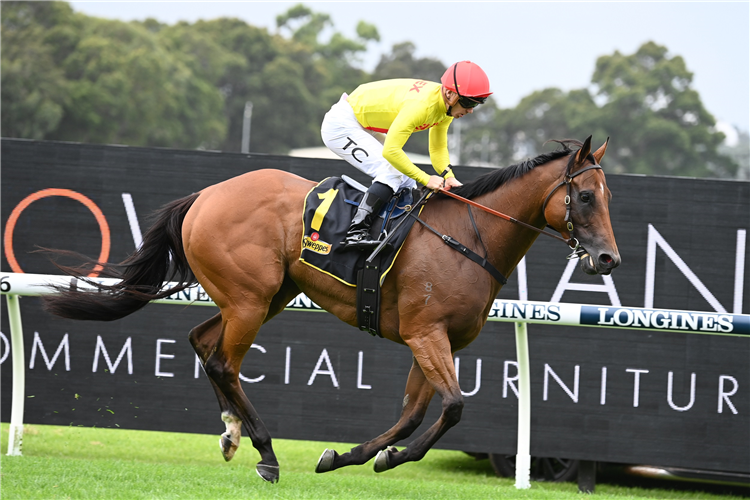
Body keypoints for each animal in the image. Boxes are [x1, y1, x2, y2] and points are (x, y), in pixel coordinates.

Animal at [43, 136, 620, 483]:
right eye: (585, 197)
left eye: (607, 196)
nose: (608, 259)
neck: (468, 239)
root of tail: (205, 195)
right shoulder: (426, 334)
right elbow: (453, 406)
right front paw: (383, 458)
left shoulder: (436, 341)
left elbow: (413, 414)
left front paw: (356, 456)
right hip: (250, 299)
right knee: (224, 362)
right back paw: (266, 453)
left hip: (263, 296)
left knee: (204, 343)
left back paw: (231, 433)